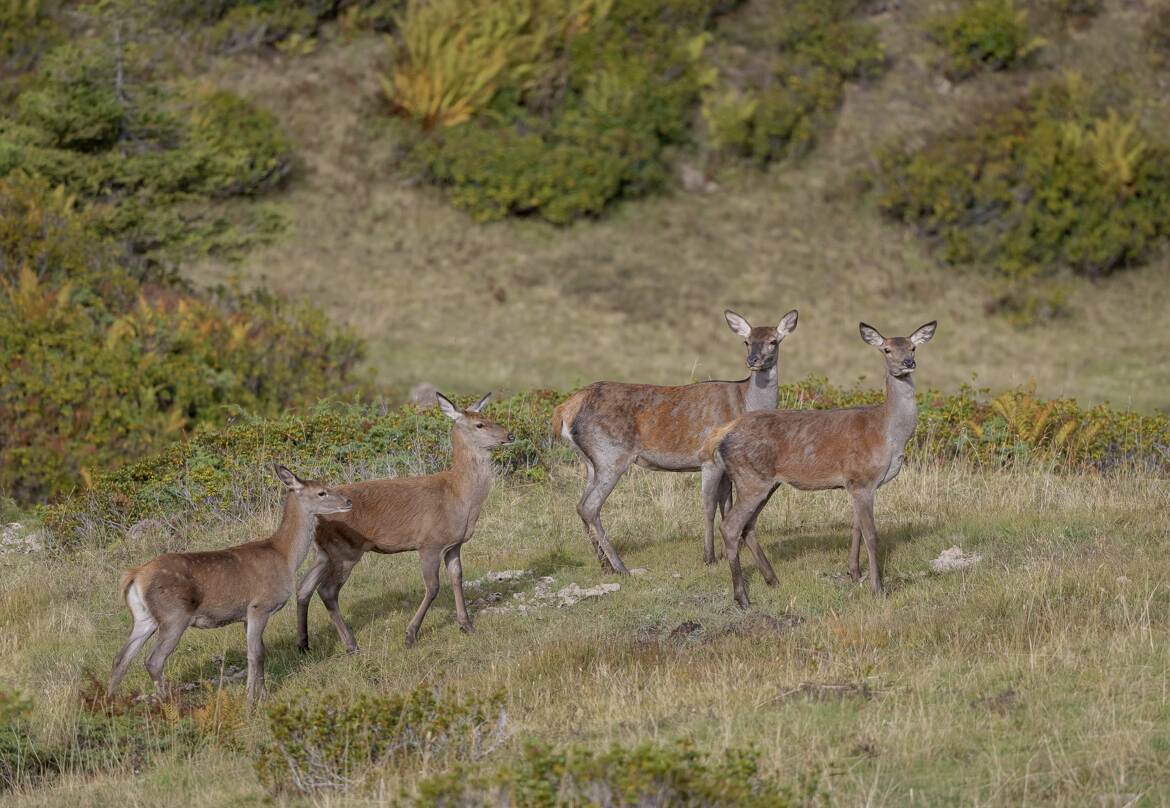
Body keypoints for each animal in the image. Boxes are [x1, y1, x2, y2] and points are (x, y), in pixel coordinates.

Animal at [109, 467, 351, 706]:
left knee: (120, 659)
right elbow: (255, 654)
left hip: (144, 618)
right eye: (322, 492)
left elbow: (260, 651)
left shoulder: (246, 615)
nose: (348, 501)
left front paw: (263, 694)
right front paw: (251, 701)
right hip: (174, 616)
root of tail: (135, 575)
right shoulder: (259, 606)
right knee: (153, 660)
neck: (285, 557)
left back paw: (109, 704)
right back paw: (168, 705)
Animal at [294, 392, 510, 650]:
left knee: (304, 587)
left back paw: (303, 644)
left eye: (490, 417)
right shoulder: (429, 542)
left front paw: (467, 625)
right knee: (327, 591)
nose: (510, 435)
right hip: (345, 549)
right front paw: (410, 635)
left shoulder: (454, 544)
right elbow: (433, 587)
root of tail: (314, 517)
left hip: (324, 551)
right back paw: (350, 643)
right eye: (479, 424)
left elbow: (457, 578)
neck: (459, 497)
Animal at [552, 306, 800, 572]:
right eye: (747, 341)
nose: (753, 360)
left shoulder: (725, 466)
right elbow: (708, 505)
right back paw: (622, 567)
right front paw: (709, 556)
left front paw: (730, 550)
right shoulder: (708, 459)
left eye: (773, 341)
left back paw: (605, 564)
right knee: (590, 507)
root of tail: (565, 409)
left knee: (580, 504)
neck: (743, 402)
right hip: (611, 454)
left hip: (591, 461)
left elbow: (727, 503)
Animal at [697, 320, 935, 608]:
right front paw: (878, 588)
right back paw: (743, 597)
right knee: (731, 527)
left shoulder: (855, 484)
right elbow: (871, 534)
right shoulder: (862, 478)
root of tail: (722, 434)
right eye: (887, 349)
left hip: (765, 482)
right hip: (751, 477)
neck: (890, 435)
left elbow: (856, 526)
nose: (908, 362)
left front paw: (854, 572)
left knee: (748, 526)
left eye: (912, 347)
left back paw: (772, 579)